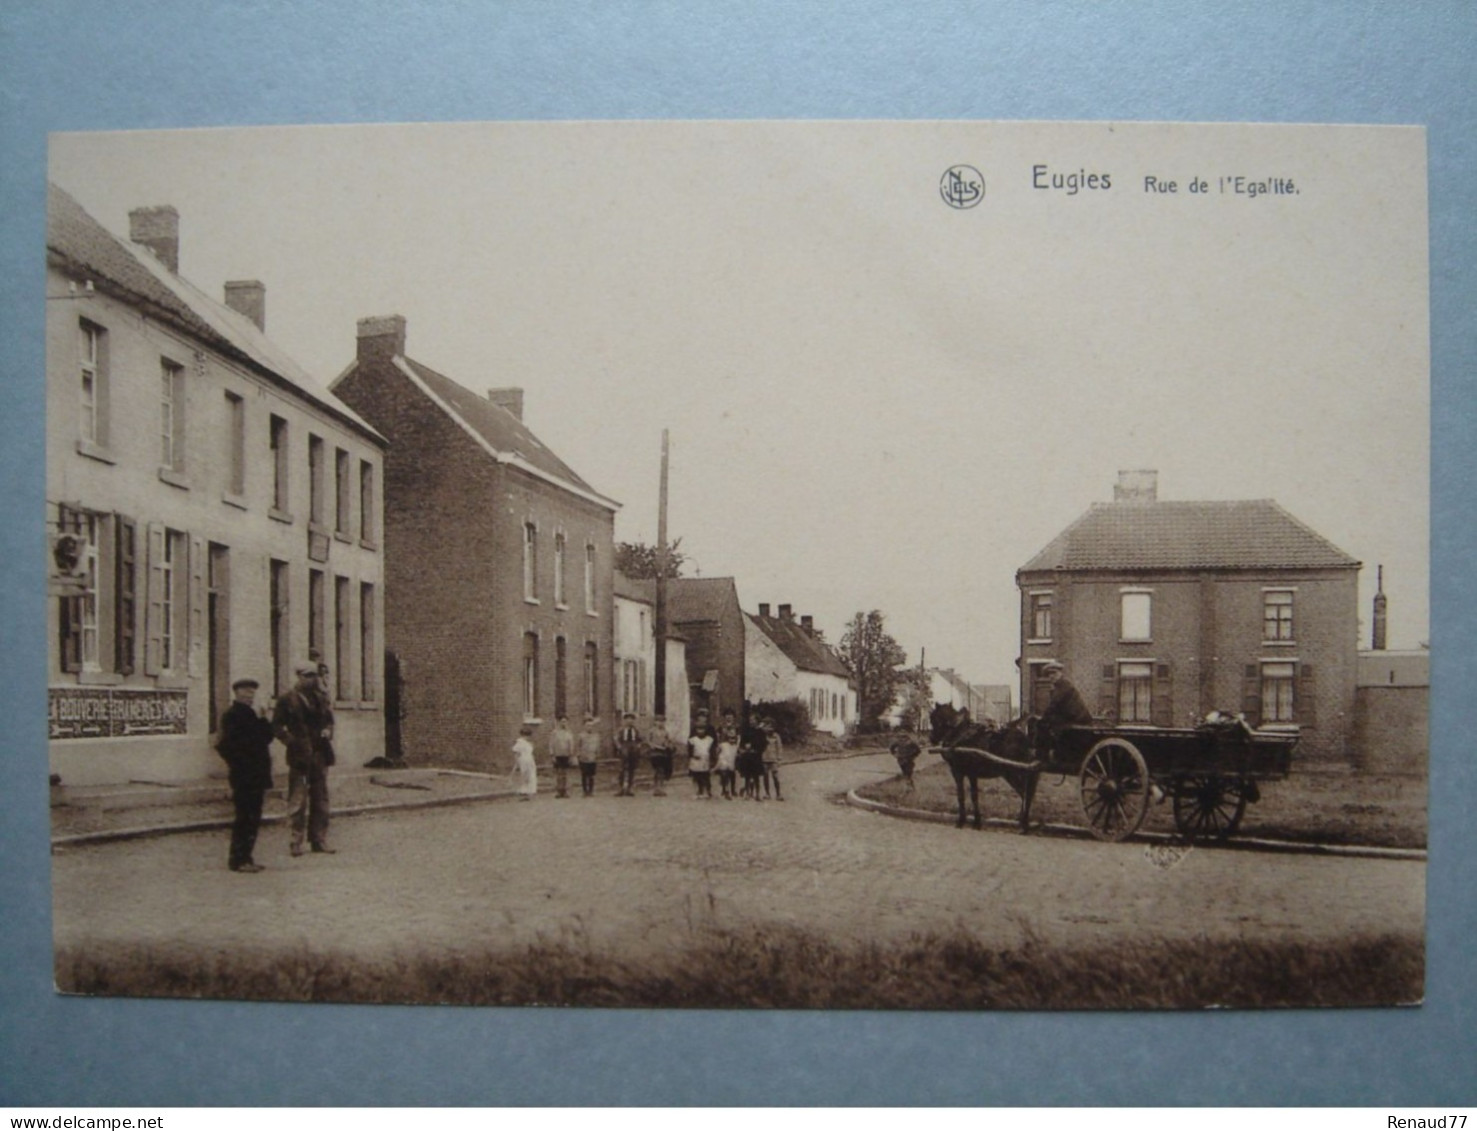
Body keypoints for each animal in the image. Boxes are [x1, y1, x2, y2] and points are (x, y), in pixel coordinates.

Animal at [933, 702, 1039, 838]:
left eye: (933, 719)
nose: (931, 739)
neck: (959, 734)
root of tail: (1026, 740)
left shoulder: (958, 772)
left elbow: (961, 795)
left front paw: (961, 821)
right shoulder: (972, 774)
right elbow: (974, 796)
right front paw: (977, 823)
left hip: (1013, 773)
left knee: (1025, 794)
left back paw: (1023, 825)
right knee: (1026, 794)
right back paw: (1023, 823)